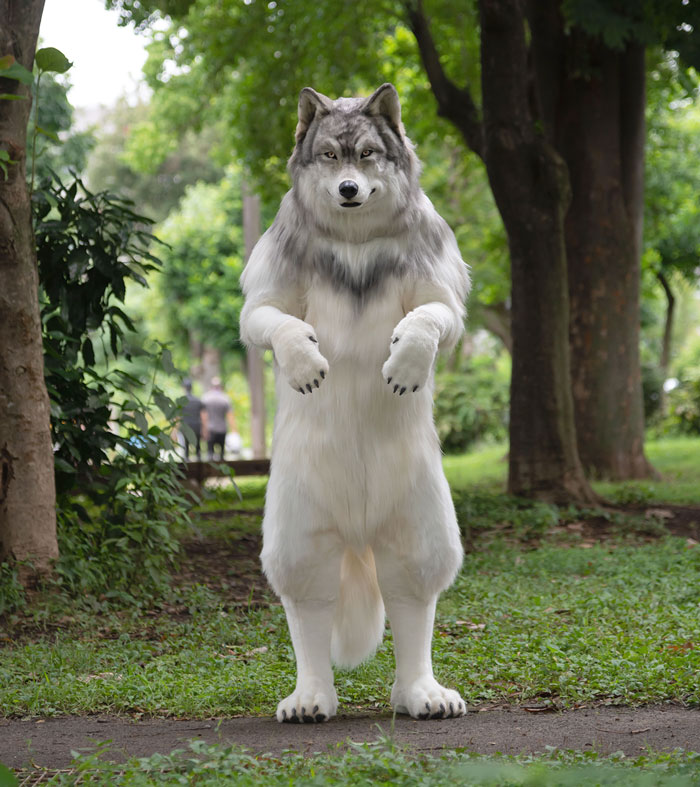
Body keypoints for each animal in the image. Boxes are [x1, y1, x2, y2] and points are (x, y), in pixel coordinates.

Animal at [239, 83, 470, 722]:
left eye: (367, 155)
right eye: (328, 157)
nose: (347, 189)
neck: (355, 241)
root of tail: (359, 529)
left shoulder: (438, 284)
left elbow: (431, 317)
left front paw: (408, 358)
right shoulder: (270, 287)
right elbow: (270, 319)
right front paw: (302, 359)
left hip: (418, 514)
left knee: (411, 590)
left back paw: (419, 692)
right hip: (301, 524)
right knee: (310, 599)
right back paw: (312, 696)